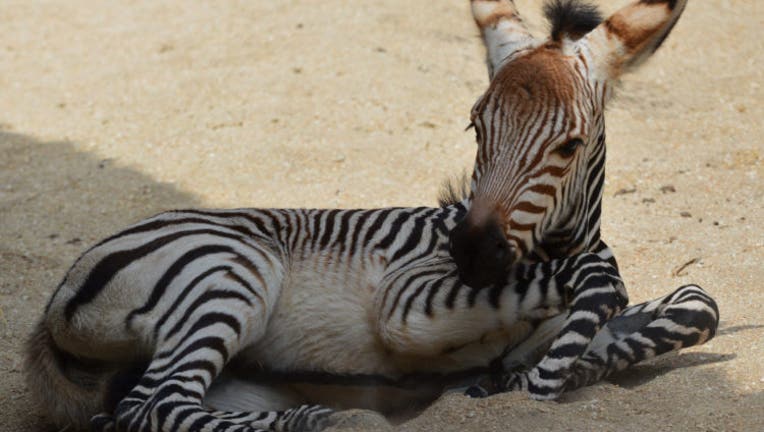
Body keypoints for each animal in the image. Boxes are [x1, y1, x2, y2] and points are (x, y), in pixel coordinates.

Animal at [22, 0, 716, 432]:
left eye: (568, 146)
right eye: (476, 127)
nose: (471, 254)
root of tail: (57, 298)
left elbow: (696, 304)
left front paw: (543, 371)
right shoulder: (405, 302)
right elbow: (600, 275)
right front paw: (528, 384)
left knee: (132, 410)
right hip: (229, 272)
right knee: (155, 406)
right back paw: (320, 420)